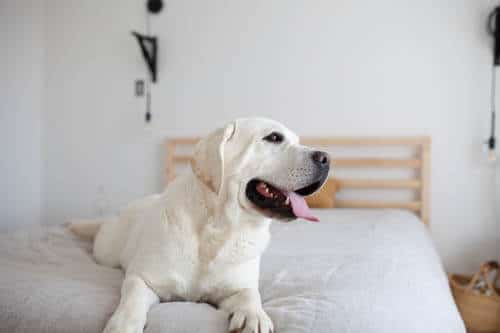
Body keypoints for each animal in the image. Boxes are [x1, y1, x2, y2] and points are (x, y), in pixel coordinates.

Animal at [70, 118, 328, 330]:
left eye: (298, 141)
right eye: (274, 138)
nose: (326, 158)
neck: (220, 228)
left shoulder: (239, 286)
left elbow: (250, 295)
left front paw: (254, 316)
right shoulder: (143, 277)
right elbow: (132, 295)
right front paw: (123, 323)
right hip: (106, 251)